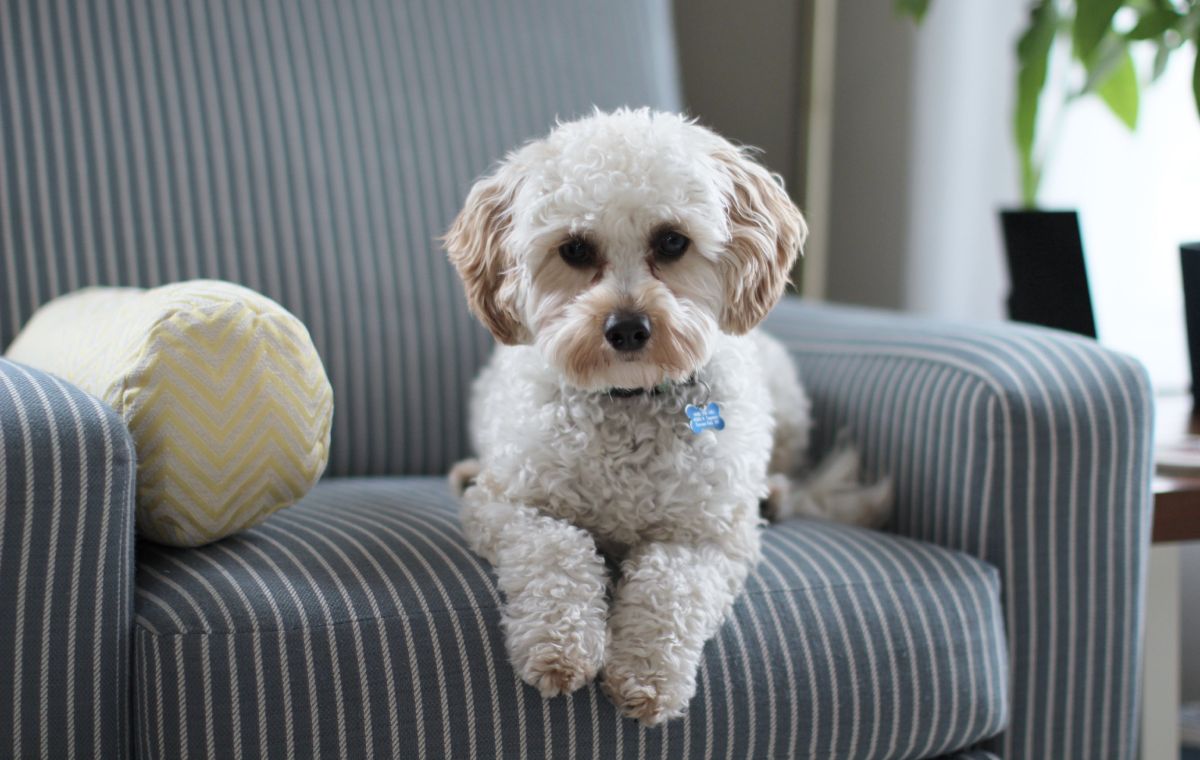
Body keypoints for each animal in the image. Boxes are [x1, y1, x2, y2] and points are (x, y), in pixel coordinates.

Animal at [444, 106, 892, 725]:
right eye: (575, 250)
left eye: (673, 241)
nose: (628, 328)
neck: (628, 400)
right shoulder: (509, 506)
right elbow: (558, 551)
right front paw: (560, 646)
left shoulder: (706, 537)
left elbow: (669, 587)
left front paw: (647, 674)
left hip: (785, 401)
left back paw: (774, 494)